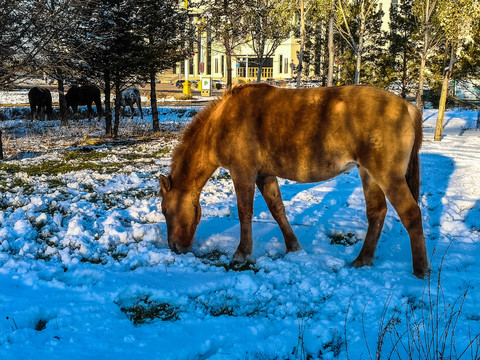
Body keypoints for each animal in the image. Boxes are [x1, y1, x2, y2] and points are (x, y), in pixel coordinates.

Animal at [159, 83, 430, 278]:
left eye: (165, 210)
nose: (174, 247)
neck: (222, 121)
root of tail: (408, 107)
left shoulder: (242, 172)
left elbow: (244, 211)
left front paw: (242, 253)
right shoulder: (264, 175)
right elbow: (278, 210)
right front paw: (292, 247)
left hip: (388, 176)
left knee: (411, 214)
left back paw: (420, 270)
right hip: (369, 174)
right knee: (376, 213)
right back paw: (362, 260)